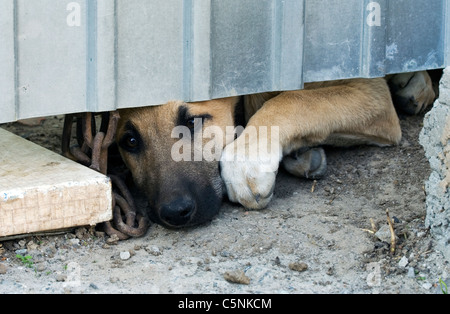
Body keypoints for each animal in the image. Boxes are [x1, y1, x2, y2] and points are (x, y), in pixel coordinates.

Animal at [116, 71, 436, 228]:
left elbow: (292, 99)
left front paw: (246, 160)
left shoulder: (371, 91)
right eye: (130, 142)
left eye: (192, 122)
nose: (174, 213)